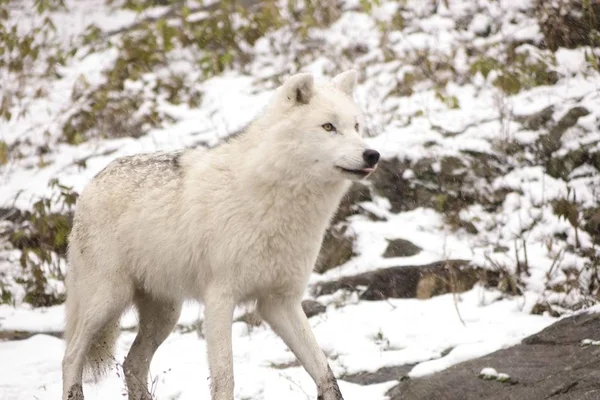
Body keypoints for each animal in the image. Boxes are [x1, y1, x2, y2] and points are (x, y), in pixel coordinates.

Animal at [61, 70, 380, 400]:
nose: (372, 154)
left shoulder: (280, 303)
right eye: (328, 127)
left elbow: (325, 372)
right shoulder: (220, 299)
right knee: (71, 355)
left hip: (165, 315)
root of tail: (92, 182)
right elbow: (225, 378)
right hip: (108, 300)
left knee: (131, 363)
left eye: (356, 127)